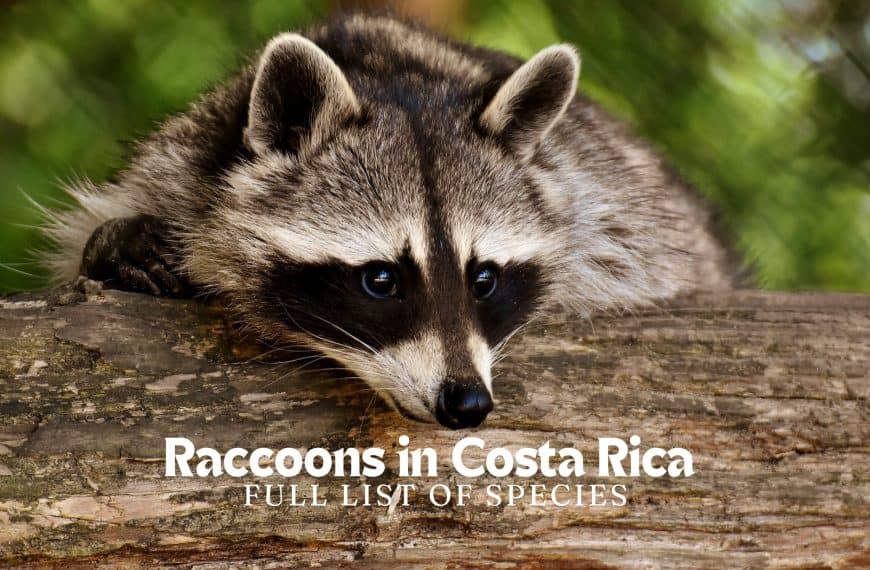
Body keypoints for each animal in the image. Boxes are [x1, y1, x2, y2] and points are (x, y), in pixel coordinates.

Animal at [42, 14, 732, 429]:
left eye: (484, 278)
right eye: (381, 280)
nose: (467, 404)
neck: (393, 73)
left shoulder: (608, 204)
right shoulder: (180, 161)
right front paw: (117, 245)